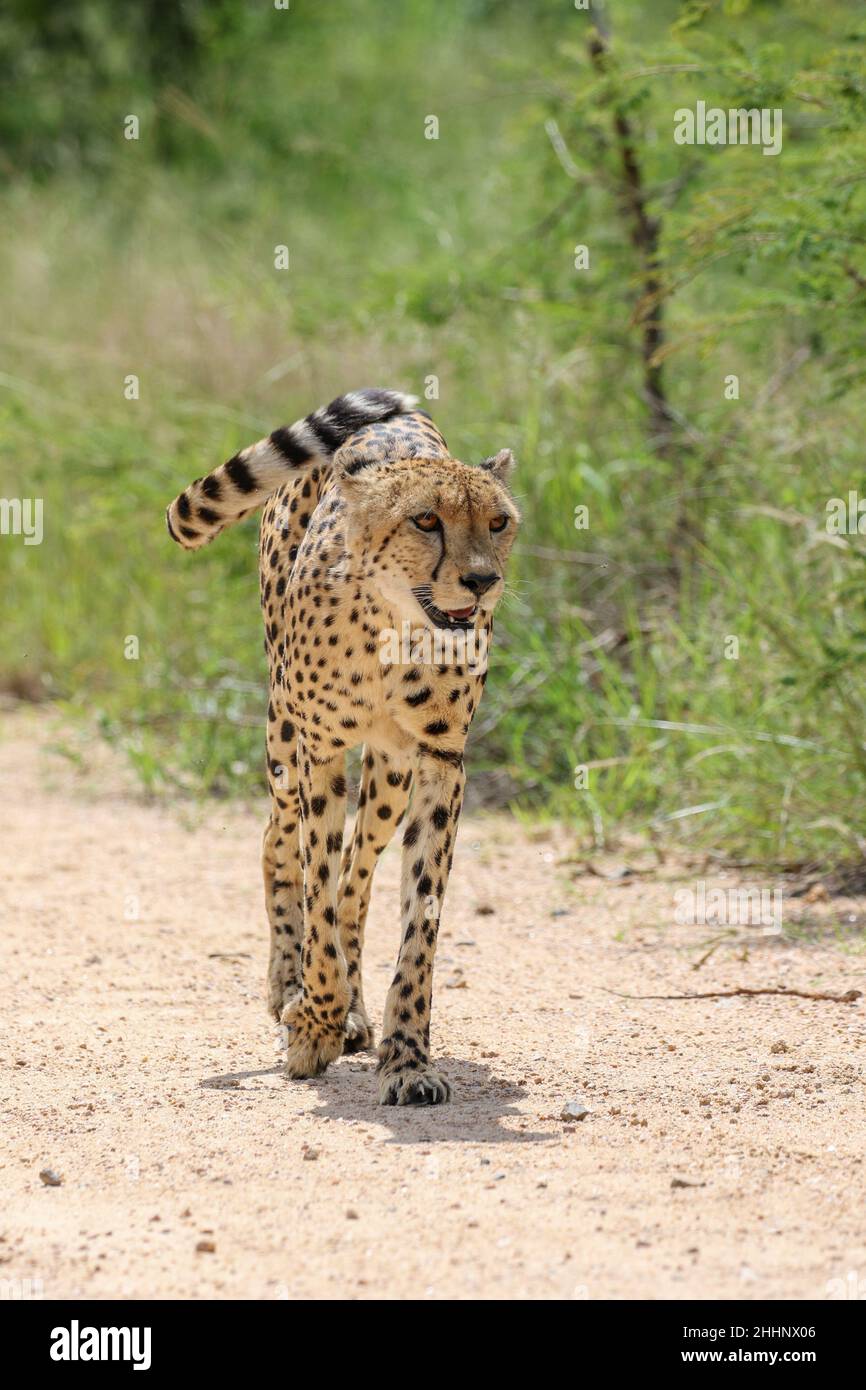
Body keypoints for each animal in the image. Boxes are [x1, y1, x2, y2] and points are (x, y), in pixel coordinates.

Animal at [169, 391, 522, 1106]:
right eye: (426, 520)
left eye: (498, 521)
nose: (482, 581)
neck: (394, 626)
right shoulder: (322, 752)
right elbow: (318, 897)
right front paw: (314, 1022)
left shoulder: (441, 762)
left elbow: (417, 917)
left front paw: (406, 1057)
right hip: (283, 737)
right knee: (280, 845)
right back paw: (290, 987)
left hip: (388, 774)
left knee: (359, 877)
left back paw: (352, 1011)